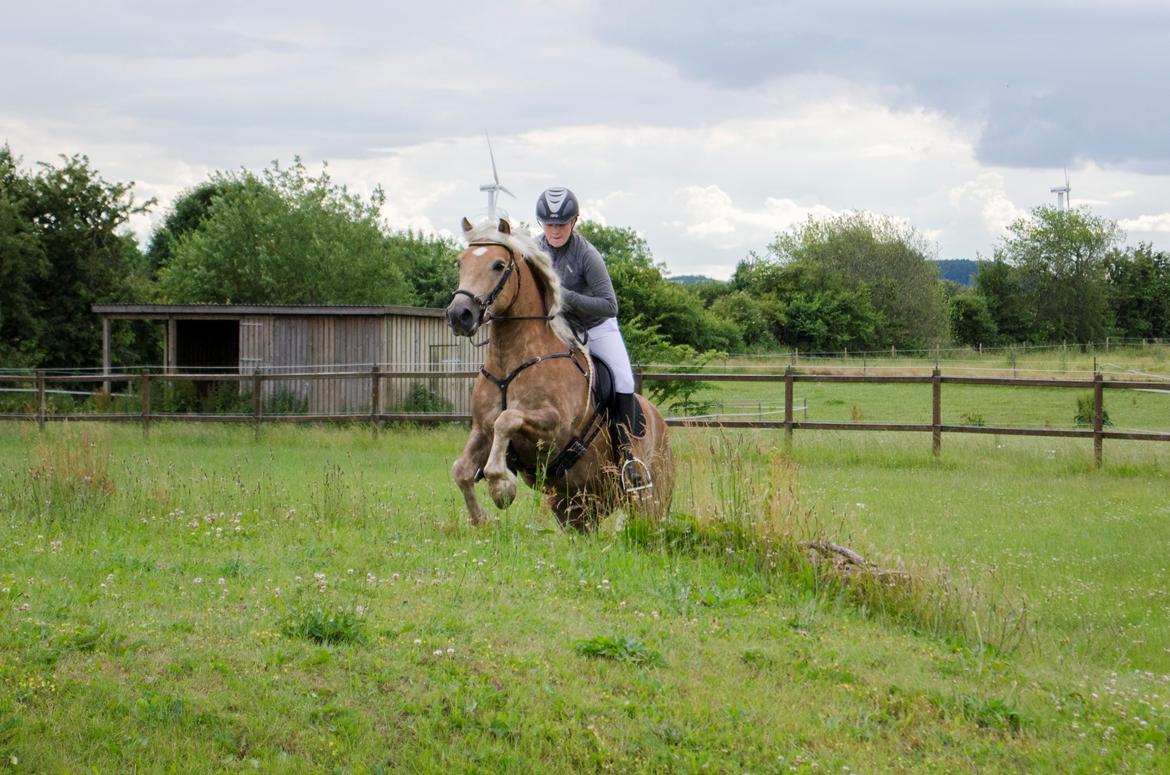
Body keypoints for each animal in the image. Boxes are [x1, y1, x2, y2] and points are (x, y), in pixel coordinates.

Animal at [442, 218, 673, 533]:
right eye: (460, 263)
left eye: (499, 265)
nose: (459, 315)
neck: (509, 363)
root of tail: (662, 424)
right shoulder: (481, 429)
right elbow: (462, 470)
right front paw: (483, 519)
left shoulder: (554, 425)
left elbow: (508, 419)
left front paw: (502, 486)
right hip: (574, 504)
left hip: (648, 502)